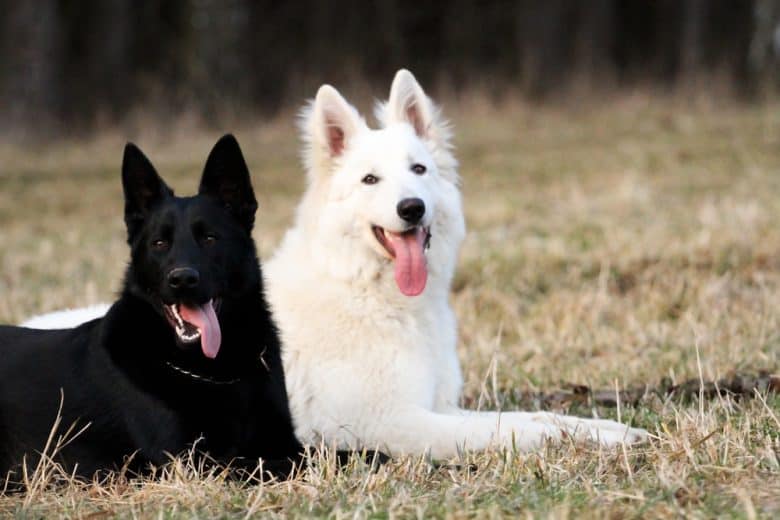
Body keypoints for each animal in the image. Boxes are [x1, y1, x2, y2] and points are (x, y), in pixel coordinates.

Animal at [0, 135, 302, 488]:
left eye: (210, 238)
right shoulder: (195, 464)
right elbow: (292, 463)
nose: (182, 279)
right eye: (159, 243)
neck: (215, 372)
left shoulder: (283, 440)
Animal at [21, 70, 648, 460]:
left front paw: (612, 431)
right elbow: (511, 432)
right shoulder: (394, 423)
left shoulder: (436, 406)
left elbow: (535, 419)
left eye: (419, 170)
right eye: (370, 180)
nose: (411, 207)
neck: (371, 294)